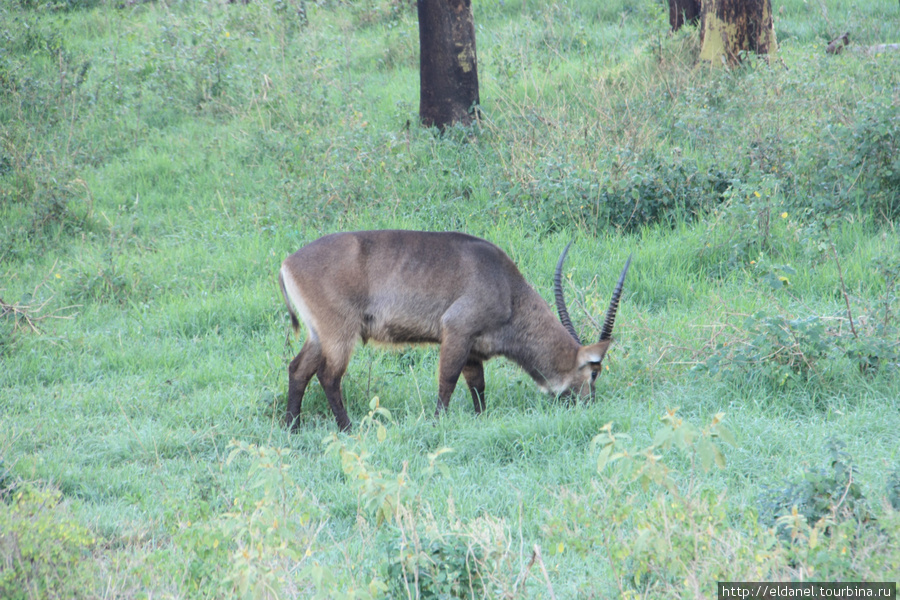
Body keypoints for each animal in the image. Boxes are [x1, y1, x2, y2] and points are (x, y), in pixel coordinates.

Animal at [278, 230, 628, 432]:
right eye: (594, 372)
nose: (590, 404)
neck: (508, 289)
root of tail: (288, 261)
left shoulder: (473, 348)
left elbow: (477, 385)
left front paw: (481, 420)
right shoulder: (457, 330)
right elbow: (447, 381)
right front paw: (438, 424)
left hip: (318, 335)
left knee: (298, 369)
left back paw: (292, 428)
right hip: (340, 333)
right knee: (328, 376)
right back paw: (348, 429)